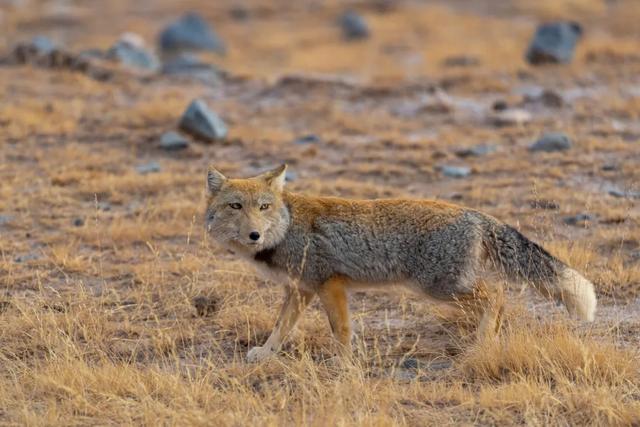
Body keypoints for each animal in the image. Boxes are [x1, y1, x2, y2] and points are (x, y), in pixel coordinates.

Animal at [204, 166, 596, 362]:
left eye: (264, 207)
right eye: (236, 206)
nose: (254, 234)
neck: (287, 227)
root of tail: (474, 213)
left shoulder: (329, 285)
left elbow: (341, 331)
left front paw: (344, 365)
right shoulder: (300, 289)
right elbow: (281, 328)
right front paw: (266, 354)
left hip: (440, 287)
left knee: (498, 296)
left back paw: (483, 340)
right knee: (498, 298)